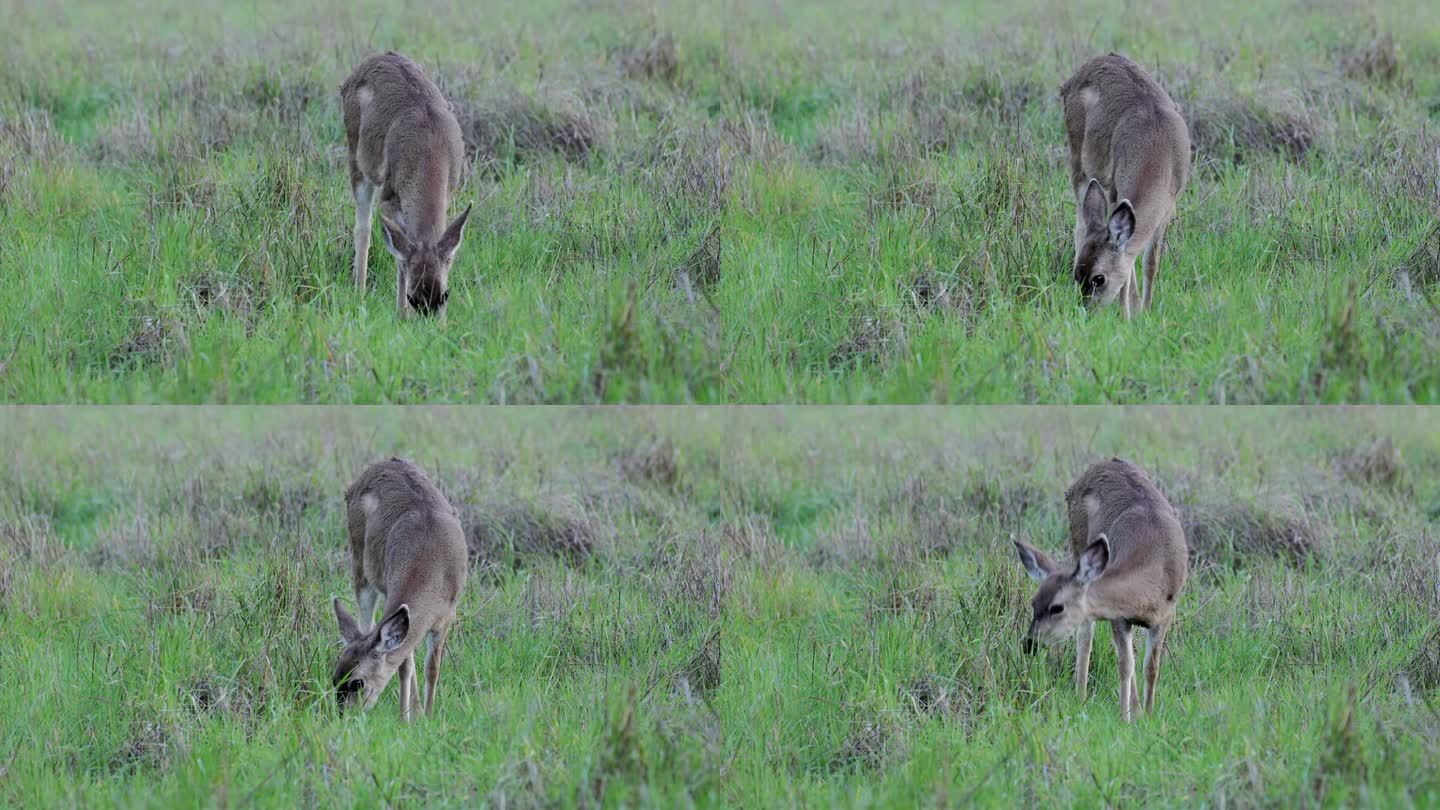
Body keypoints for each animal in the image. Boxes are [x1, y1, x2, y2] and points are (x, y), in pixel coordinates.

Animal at [331, 455, 466, 717]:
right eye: (335, 679)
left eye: (357, 682)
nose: (341, 717)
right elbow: (405, 666)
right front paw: (406, 717)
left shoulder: (447, 616)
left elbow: (432, 668)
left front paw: (427, 715)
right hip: (360, 565)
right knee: (366, 625)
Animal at [338, 51, 469, 318]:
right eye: (412, 296)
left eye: (445, 296)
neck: (430, 150)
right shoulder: (389, 197)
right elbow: (400, 256)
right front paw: (401, 313)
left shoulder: (450, 192)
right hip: (356, 159)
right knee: (363, 228)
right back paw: (359, 294)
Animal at [1008, 455, 1186, 717]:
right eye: (1033, 603)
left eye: (1056, 607)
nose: (1030, 643)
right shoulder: (1119, 617)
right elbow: (1126, 665)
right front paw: (1125, 717)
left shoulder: (1165, 614)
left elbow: (1150, 667)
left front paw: (1147, 714)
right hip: (1077, 542)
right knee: (1085, 637)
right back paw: (1080, 698)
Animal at [1065, 51, 1186, 317]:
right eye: (1077, 274)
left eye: (1099, 278)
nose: (1086, 311)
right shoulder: (1116, 190)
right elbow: (1128, 267)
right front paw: (1127, 313)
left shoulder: (1167, 209)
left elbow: (1151, 262)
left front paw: (1145, 310)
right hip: (1078, 160)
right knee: (1079, 225)